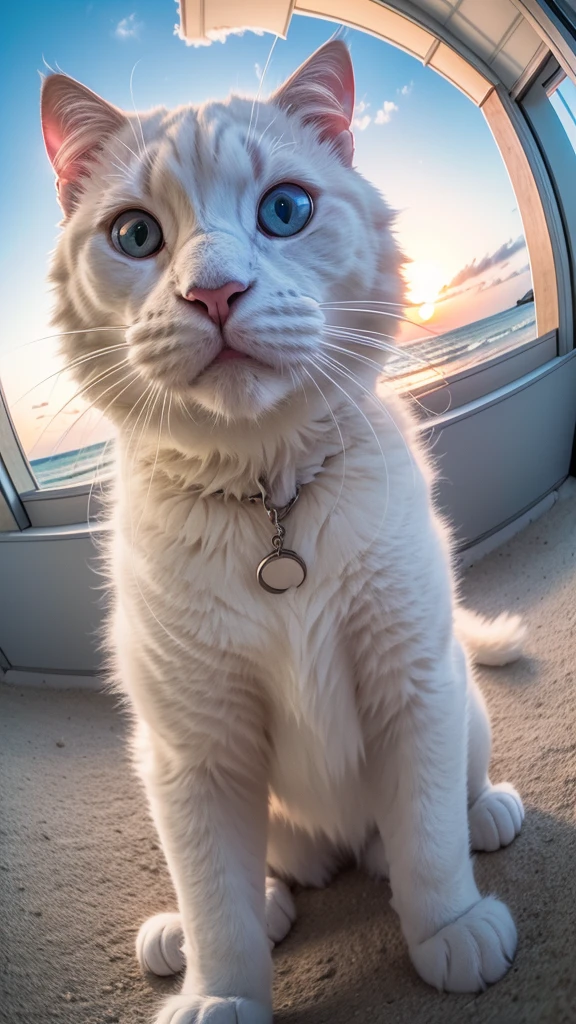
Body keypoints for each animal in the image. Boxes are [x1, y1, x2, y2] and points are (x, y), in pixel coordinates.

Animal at [41, 41, 524, 1024]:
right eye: (135, 236)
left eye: (285, 210)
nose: (215, 292)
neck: (272, 502)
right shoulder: (193, 749)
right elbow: (213, 893)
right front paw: (221, 990)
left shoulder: (411, 682)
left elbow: (425, 839)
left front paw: (449, 925)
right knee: (254, 878)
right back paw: (202, 929)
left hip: (458, 701)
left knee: (437, 809)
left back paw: (485, 813)